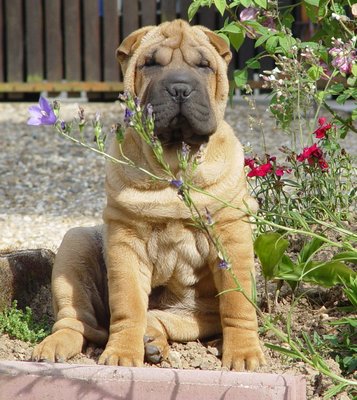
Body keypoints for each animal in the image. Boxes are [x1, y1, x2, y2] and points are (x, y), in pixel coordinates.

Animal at [33, 18, 266, 368]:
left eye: (204, 65)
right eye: (151, 63)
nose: (180, 88)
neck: (173, 162)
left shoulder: (230, 233)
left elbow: (237, 303)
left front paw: (243, 354)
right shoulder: (125, 241)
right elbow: (129, 304)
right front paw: (121, 355)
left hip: (193, 316)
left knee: (160, 318)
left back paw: (153, 341)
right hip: (76, 244)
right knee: (77, 321)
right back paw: (57, 345)